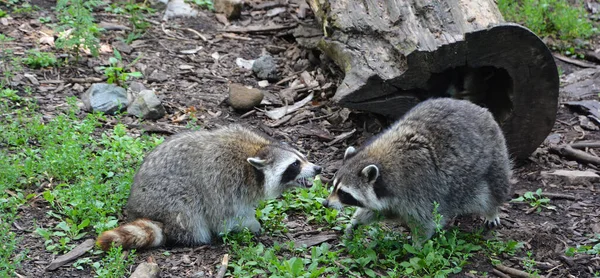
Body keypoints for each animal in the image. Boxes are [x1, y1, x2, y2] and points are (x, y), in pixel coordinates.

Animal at [97, 125, 324, 251]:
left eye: (303, 157)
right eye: (295, 165)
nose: (318, 168)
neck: (257, 153)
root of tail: (138, 209)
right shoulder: (224, 180)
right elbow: (224, 216)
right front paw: (250, 225)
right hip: (170, 200)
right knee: (188, 208)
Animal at [322, 97, 512, 243]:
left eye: (344, 193)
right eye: (333, 186)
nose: (325, 203)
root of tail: (481, 109)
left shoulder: (420, 190)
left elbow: (425, 222)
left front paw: (417, 246)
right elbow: (373, 211)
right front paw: (354, 223)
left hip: (494, 160)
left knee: (490, 192)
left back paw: (492, 209)